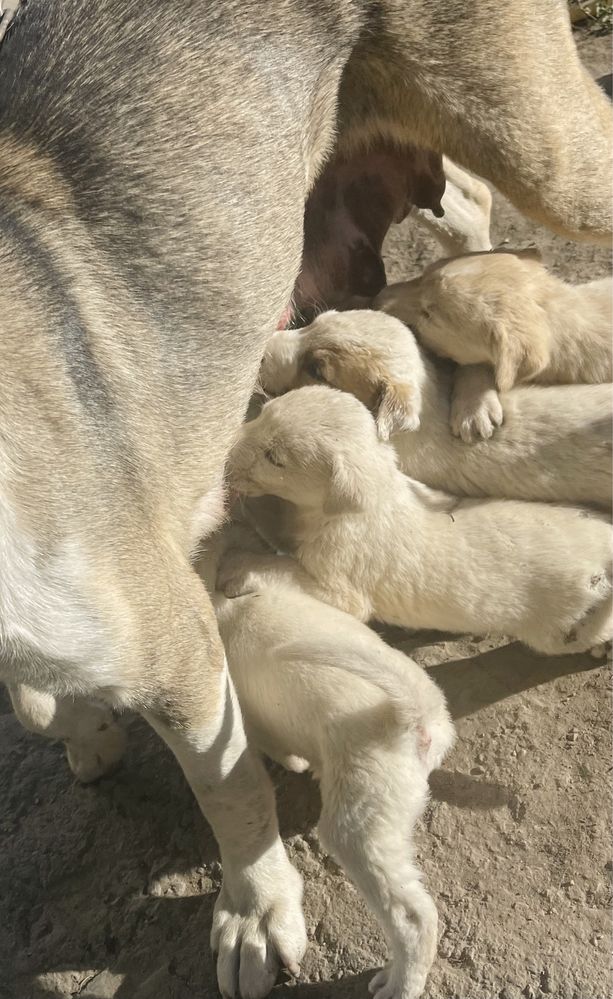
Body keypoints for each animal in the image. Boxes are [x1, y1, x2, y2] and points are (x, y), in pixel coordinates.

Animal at [228, 386, 612, 660]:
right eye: (262, 413)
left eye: (275, 458)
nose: (225, 458)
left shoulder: (342, 574)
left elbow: (295, 575)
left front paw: (238, 566)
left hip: (562, 623)